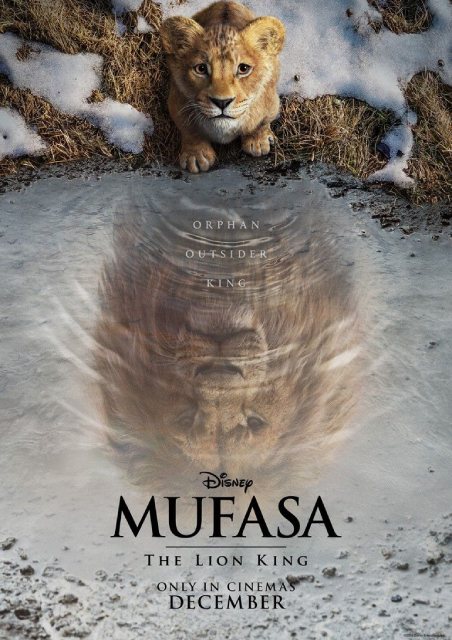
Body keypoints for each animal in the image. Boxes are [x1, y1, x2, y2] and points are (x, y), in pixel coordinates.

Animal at [160, 1, 285, 173]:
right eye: (201, 69)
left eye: (243, 68)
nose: (222, 102)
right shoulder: (177, 102)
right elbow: (189, 130)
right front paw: (196, 155)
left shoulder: (271, 102)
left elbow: (261, 122)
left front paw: (258, 141)